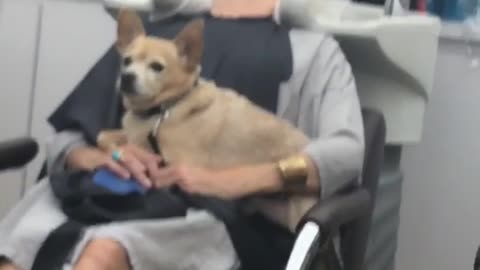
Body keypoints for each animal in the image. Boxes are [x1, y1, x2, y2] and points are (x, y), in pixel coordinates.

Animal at [96, 9, 318, 231]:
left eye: (157, 67)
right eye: (126, 61)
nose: (126, 77)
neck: (164, 109)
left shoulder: (173, 165)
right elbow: (103, 136)